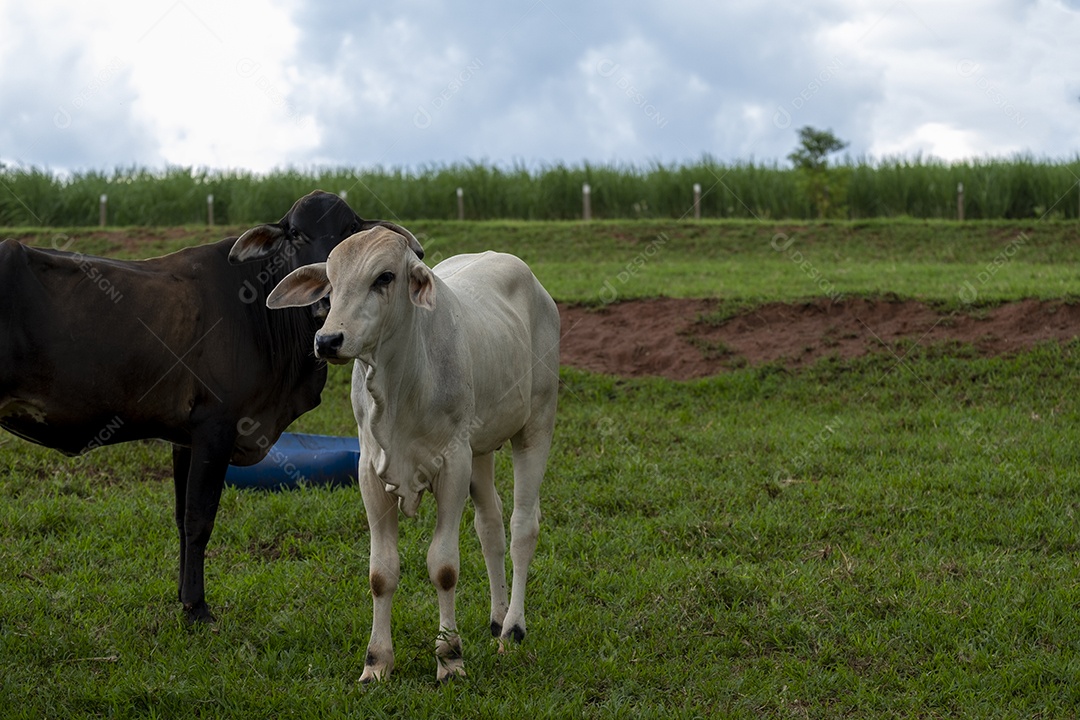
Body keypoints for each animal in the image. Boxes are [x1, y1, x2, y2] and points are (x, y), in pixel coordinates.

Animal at [0, 191, 421, 626]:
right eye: (294, 234)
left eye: (350, 231)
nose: (325, 298)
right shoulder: (215, 427)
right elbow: (199, 519)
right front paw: (196, 607)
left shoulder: (183, 438)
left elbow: (181, 517)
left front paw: (182, 597)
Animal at [266, 226, 561, 682]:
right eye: (330, 281)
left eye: (384, 277)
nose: (328, 340)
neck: (399, 385)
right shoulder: (370, 471)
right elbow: (381, 572)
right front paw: (376, 662)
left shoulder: (452, 464)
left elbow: (443, 567)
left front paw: (450, 658)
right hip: (480, 449)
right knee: (490, 526)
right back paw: (496, 618)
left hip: (536, 427)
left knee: (522, 526)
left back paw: (512, 629)